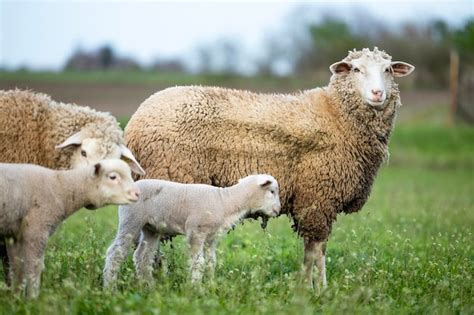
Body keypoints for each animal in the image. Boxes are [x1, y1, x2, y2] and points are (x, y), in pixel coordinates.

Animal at [0, 160, 140, 298]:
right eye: (112, 177)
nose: (137, 193)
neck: (60, 186)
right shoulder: (36, 229)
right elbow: (33, 267)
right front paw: (32, 298)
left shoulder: (14, 234)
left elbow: (17, 267)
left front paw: (16, 297)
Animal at [103, 174, 282, 288]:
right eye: (272, 191)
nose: (278, 210)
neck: (225, 201)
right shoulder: (196, 232)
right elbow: (198, 263)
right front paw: (195, 288)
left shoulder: (211, 237)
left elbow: (211, 262)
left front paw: (210, 285)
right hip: (131, 220)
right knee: (115, 253)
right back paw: (110, 288)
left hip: (151, 228)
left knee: (142, 257)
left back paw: (149, 287)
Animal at [124, 47, 412, 292]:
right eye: (356, 69)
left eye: (388, 69)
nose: (377, 93)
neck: (337, 116)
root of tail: (135, 123)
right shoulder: (318, 199)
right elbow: (316, 251)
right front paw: (315, 289)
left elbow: (315, 251)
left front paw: (311, 287)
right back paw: (155, 280)